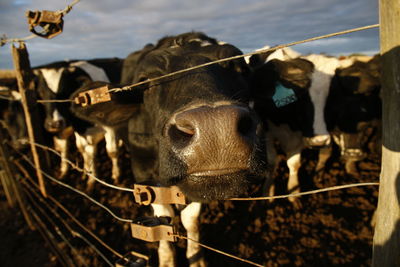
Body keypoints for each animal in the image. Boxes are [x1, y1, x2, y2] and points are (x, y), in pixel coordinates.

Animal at [34, 58, 125, 188]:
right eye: (40, 93)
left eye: (65, 91)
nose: (54, 124)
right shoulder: (79, 129)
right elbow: (83, 151)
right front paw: (87, 176)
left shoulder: (110, 127)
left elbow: (112, 151)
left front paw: (116, 176)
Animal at [71, 32, 268, 267]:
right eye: (145, 80)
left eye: (240, 69)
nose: (216, 129)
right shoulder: (144, 174)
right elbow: (161, 217)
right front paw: (166, 258)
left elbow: (190, 219)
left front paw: (196, 257)